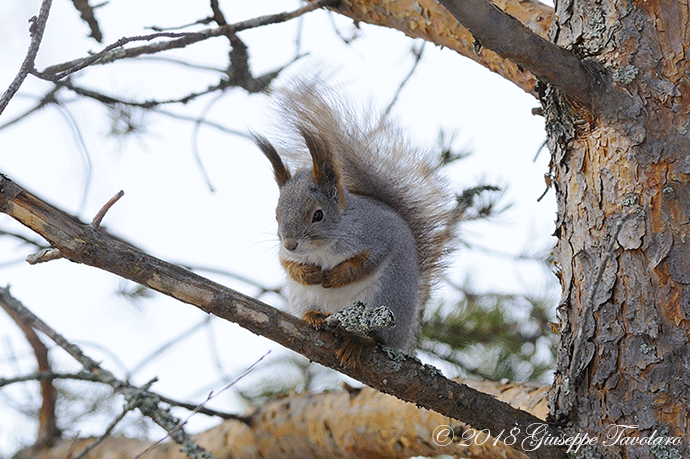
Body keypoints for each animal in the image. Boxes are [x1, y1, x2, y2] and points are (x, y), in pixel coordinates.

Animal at [253, 82, 456, 356]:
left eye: (318, 215)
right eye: (276, 215)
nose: (290, 244)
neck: (323, 247)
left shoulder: (378, 235)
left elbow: (365, 262)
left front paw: (335, 277)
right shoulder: (285, 255)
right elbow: (286, 264)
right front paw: (308, 274)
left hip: (387, 297)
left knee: (378, 337)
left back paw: (359, 342)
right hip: (302, 297)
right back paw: (314, 315)